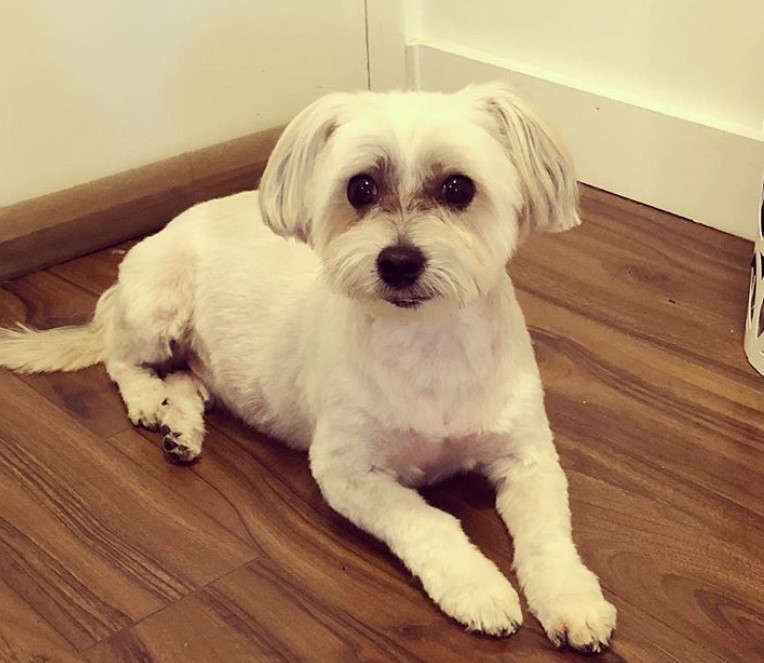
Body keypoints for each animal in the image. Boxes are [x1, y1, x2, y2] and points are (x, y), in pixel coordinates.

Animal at [0, 83, 616, 652]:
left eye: (458, 187)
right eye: (360, 187)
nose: (397, 262)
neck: (429, 342)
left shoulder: (528, 459)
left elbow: (549, 536)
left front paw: (572, 600)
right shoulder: (347, 473)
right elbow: (429, 521)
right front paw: (478, 588)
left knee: (186, 378)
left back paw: (182, 428)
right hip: (158, 304)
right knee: (122, 359)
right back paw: (152, 403)